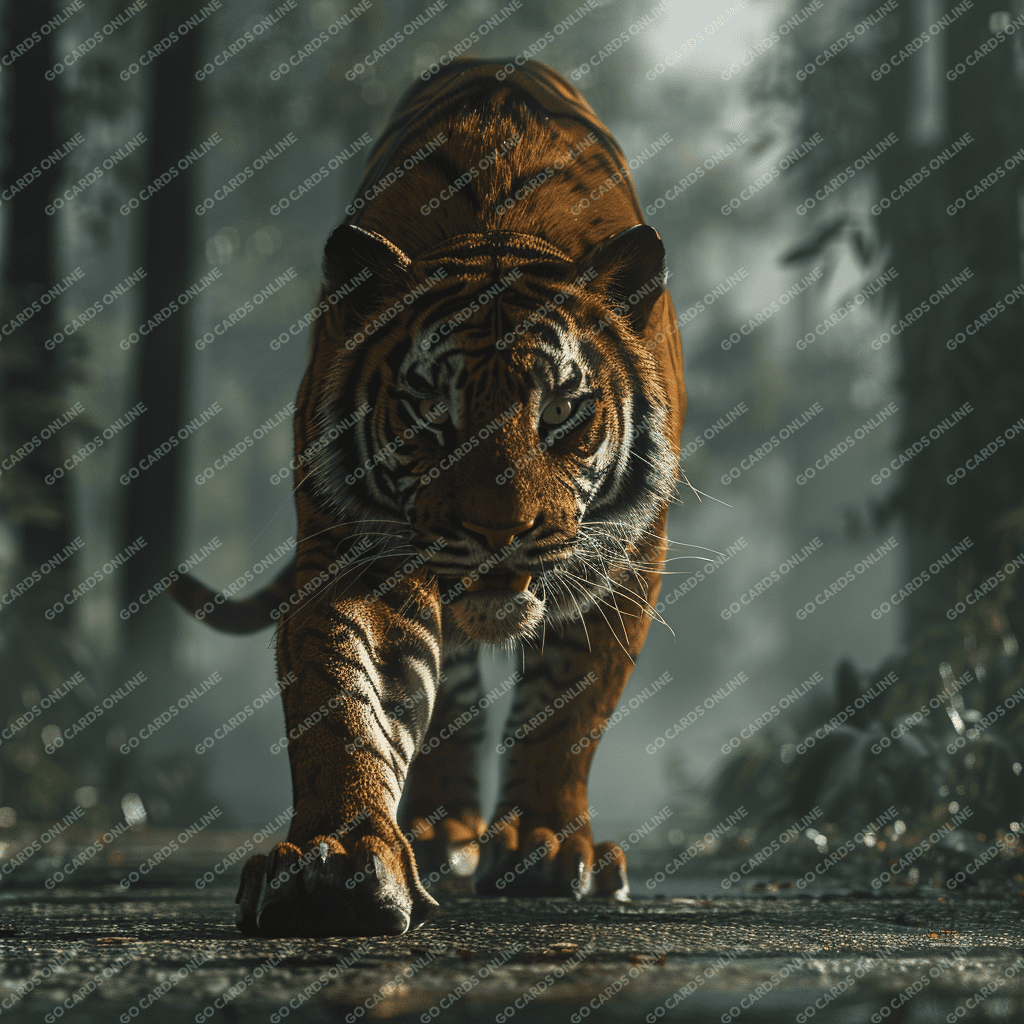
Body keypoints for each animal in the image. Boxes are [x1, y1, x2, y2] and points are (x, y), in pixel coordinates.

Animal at [168, 58, 687, 937]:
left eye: (562, 412)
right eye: (431, 417)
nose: (500, 532)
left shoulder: (624, 560)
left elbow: (568, 708)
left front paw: (550, 846)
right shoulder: (359, 552)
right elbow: (345, 701)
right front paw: (335, 861)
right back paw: (442, 833)